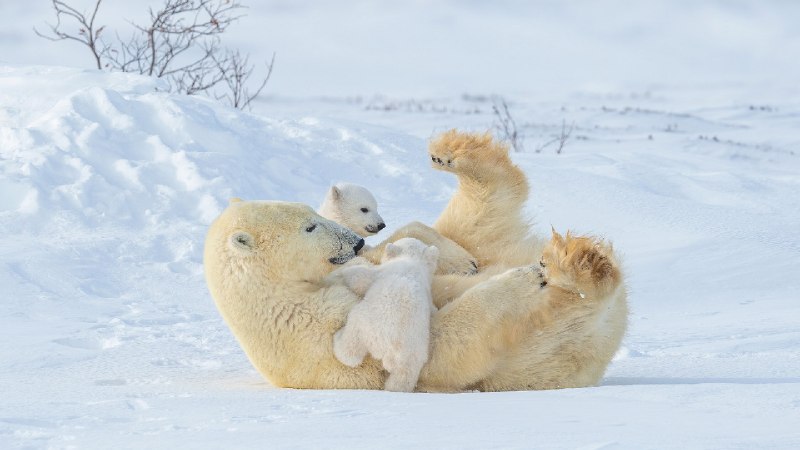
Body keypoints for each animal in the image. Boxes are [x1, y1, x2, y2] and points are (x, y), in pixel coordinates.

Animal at [333, 238, 438, 392]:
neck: (412, 261)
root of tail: (388, 348)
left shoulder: (382, 272)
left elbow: (361, 278)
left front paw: (346, 272)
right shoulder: (428, 291)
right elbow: (432, 307)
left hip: (363, 324)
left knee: (350, 351)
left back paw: (338, 338)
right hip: (413, 353)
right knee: (403, 377)